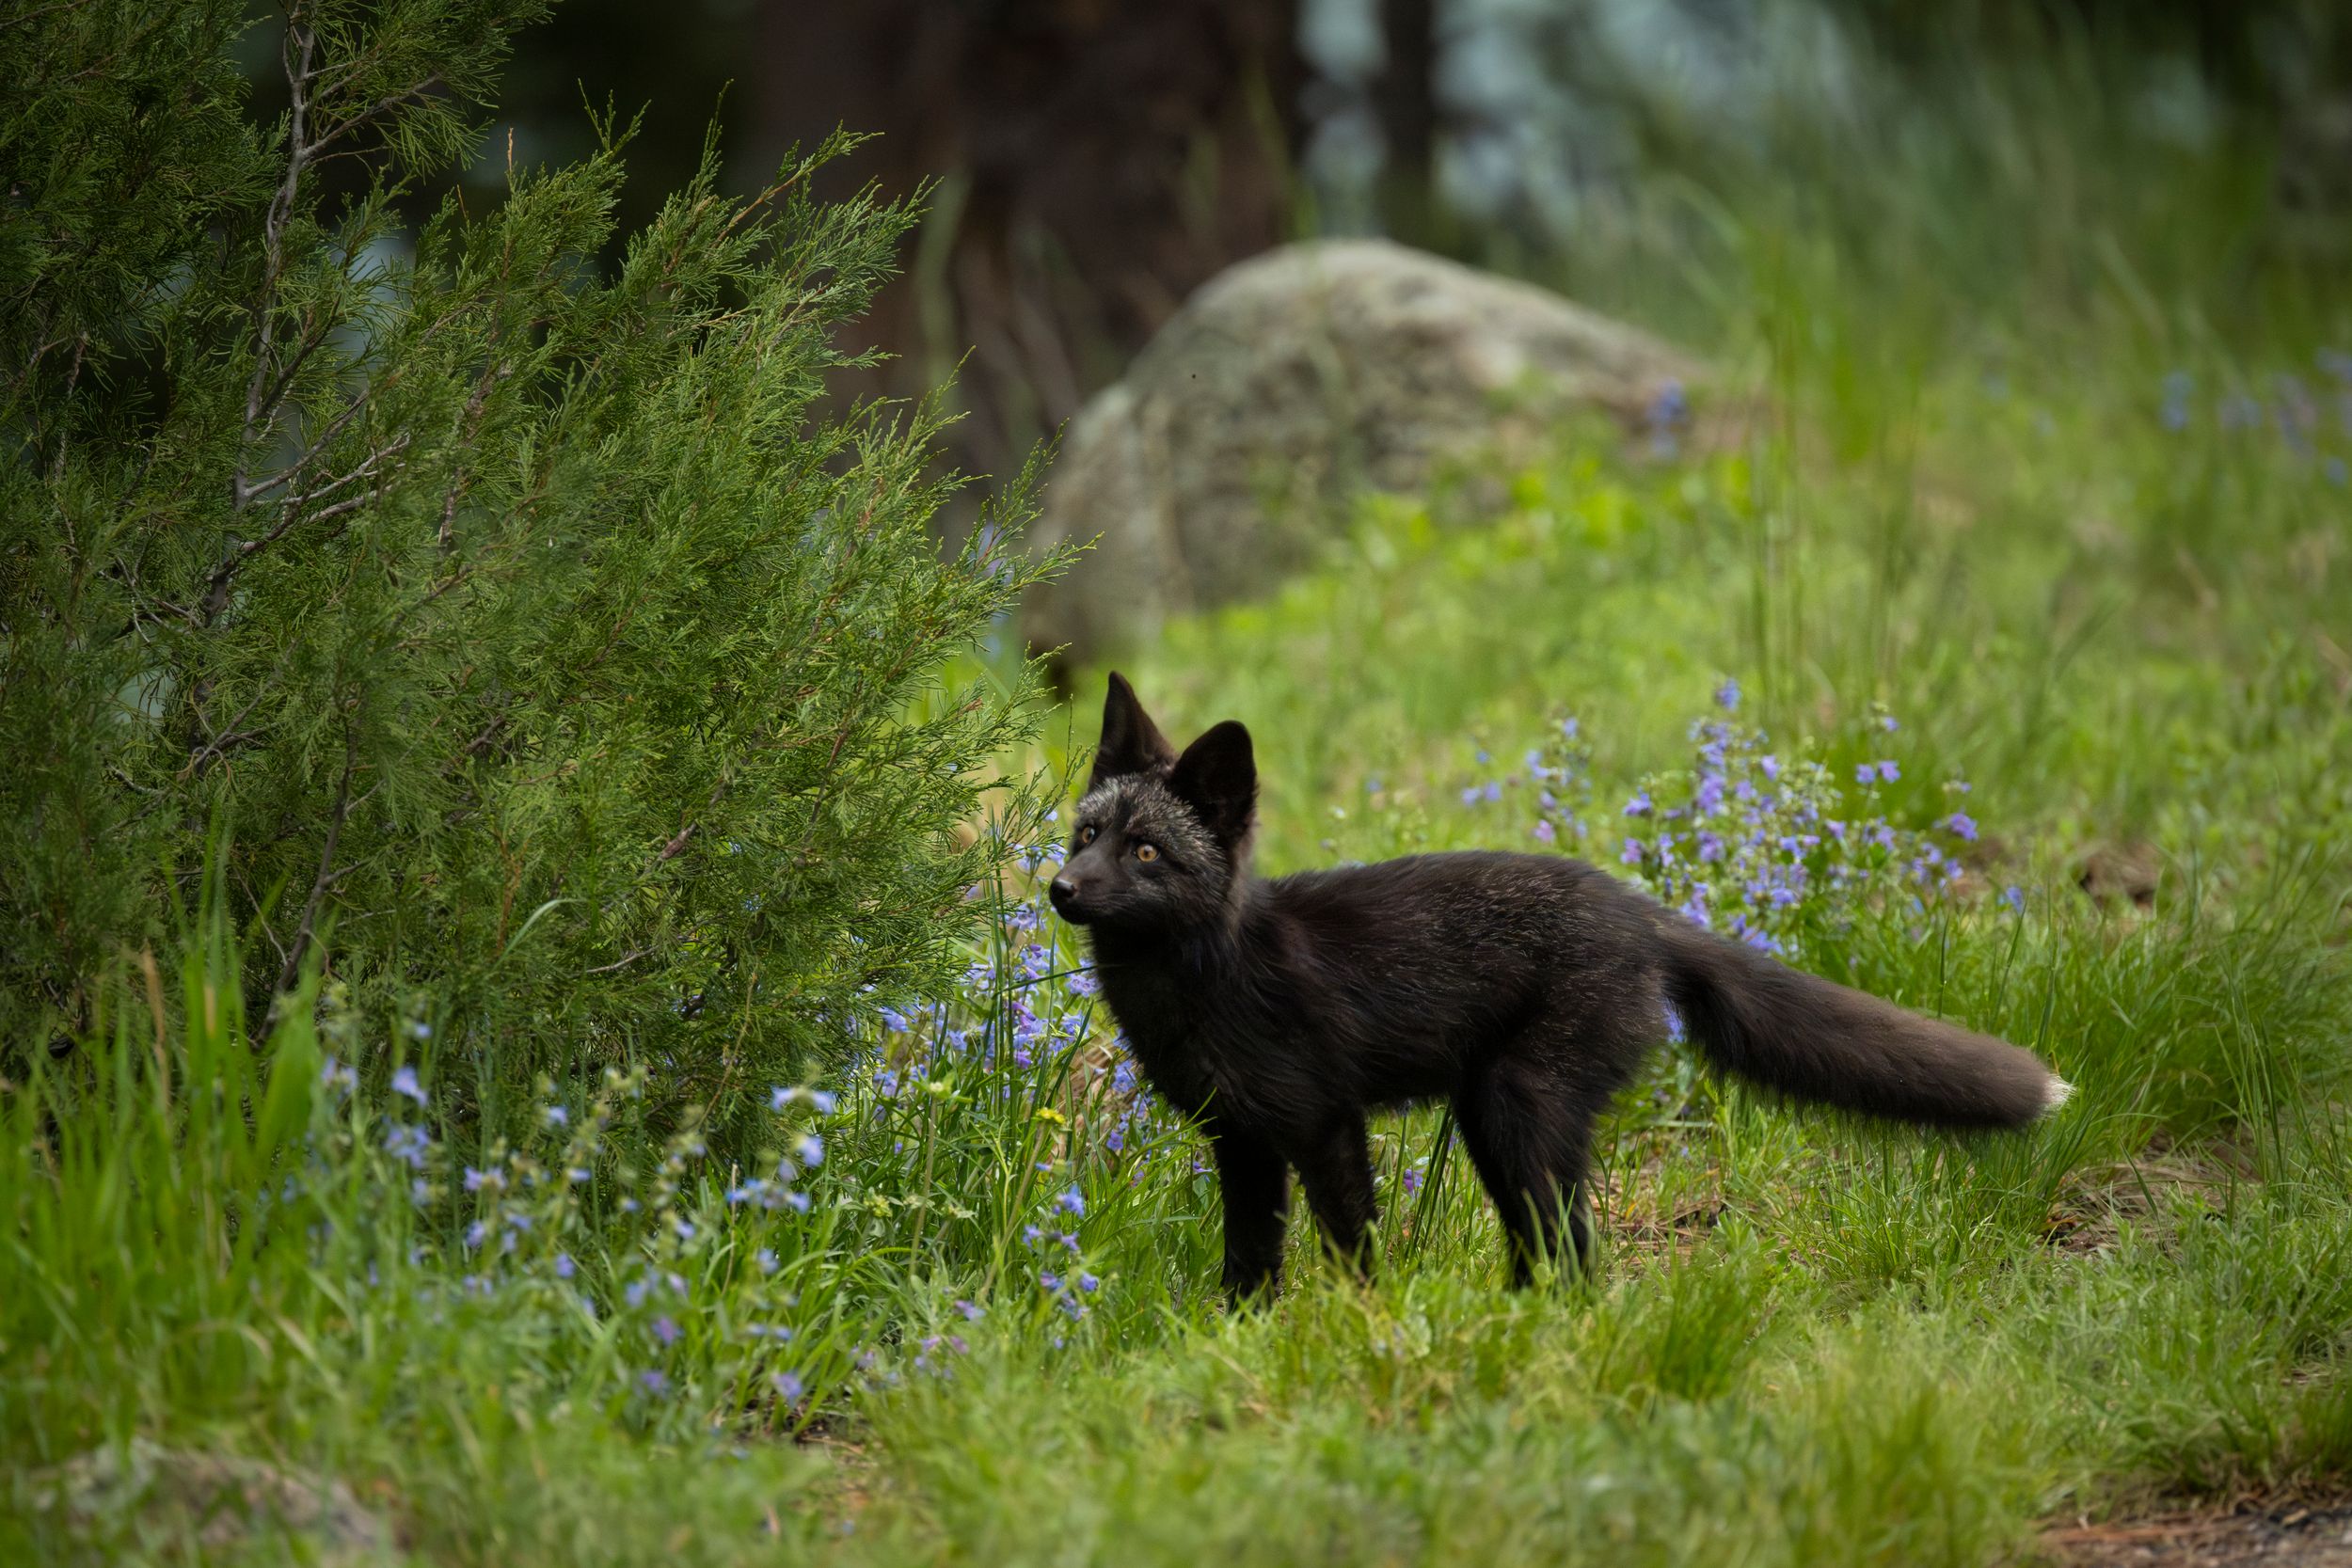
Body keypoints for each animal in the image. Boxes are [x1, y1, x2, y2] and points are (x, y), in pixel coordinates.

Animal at [1049, 674, 2072, 1302]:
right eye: (1085, 835)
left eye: (1146, 852)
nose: (1059, 890)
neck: (1204, 982)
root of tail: (1638, 909)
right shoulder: (1242, 1140)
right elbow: (1249, 1263)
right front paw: (1240, 1337)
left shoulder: (1323, 1121)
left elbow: (1351, 1251)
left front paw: (1357, 1327)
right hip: (1496, 1122)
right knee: (1553, 1250)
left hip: (1517, 1108)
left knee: (1574, 1251)